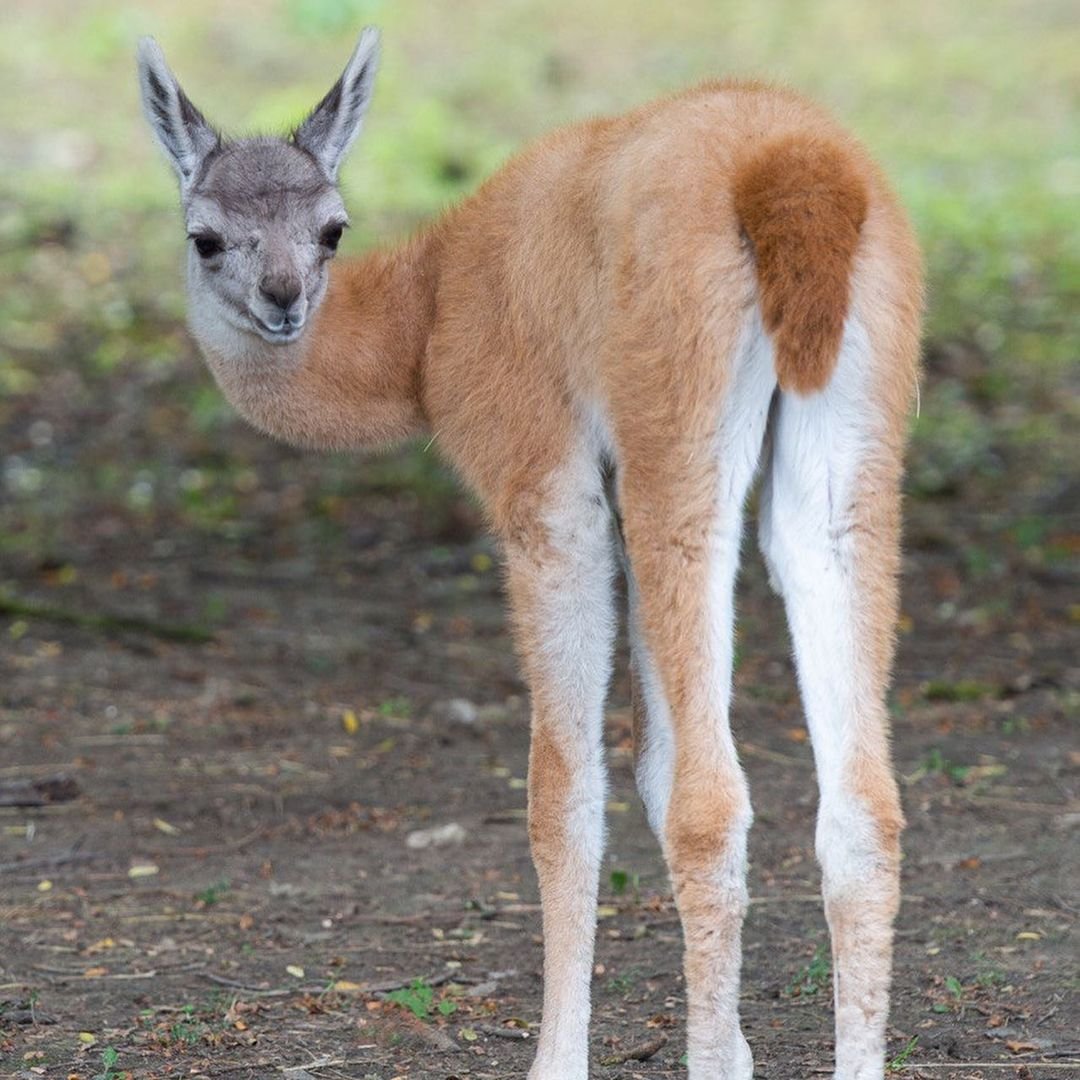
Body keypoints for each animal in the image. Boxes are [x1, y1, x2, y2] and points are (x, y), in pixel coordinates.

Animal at [139, 29, 924, 1075]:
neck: (425, 322)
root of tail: (794, 168)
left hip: (675, 433)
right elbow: (647, 765)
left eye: (333, 229)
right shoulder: (612, 503)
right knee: (859, 801)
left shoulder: (545, 489)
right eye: (209, 236)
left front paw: (564, 1057)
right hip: (850, 441)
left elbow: (567, 797)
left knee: (713, 805)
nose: (282, 299)